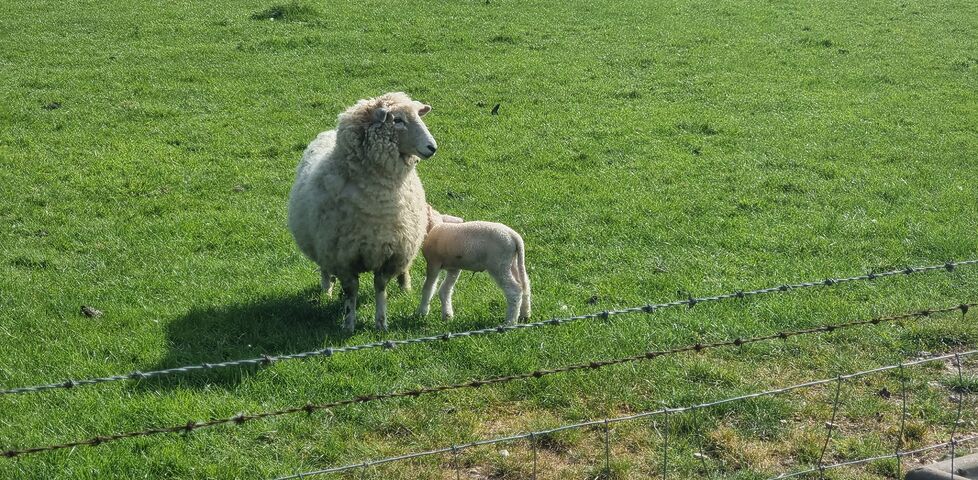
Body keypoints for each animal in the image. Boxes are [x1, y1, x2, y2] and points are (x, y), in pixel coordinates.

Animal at [287, 92, 437, 331]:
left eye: (418, 115)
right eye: (397, 120)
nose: (432, 147)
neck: (379, 201)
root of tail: (327, 132)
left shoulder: (391, 253)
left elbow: (380, 288)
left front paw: (381, 323)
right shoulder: (342, 257)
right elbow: (351, 291)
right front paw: (348, 324)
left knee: (403, 270)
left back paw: (405, 287)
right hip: (322, 246)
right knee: (324, 269)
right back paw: (326, 290)